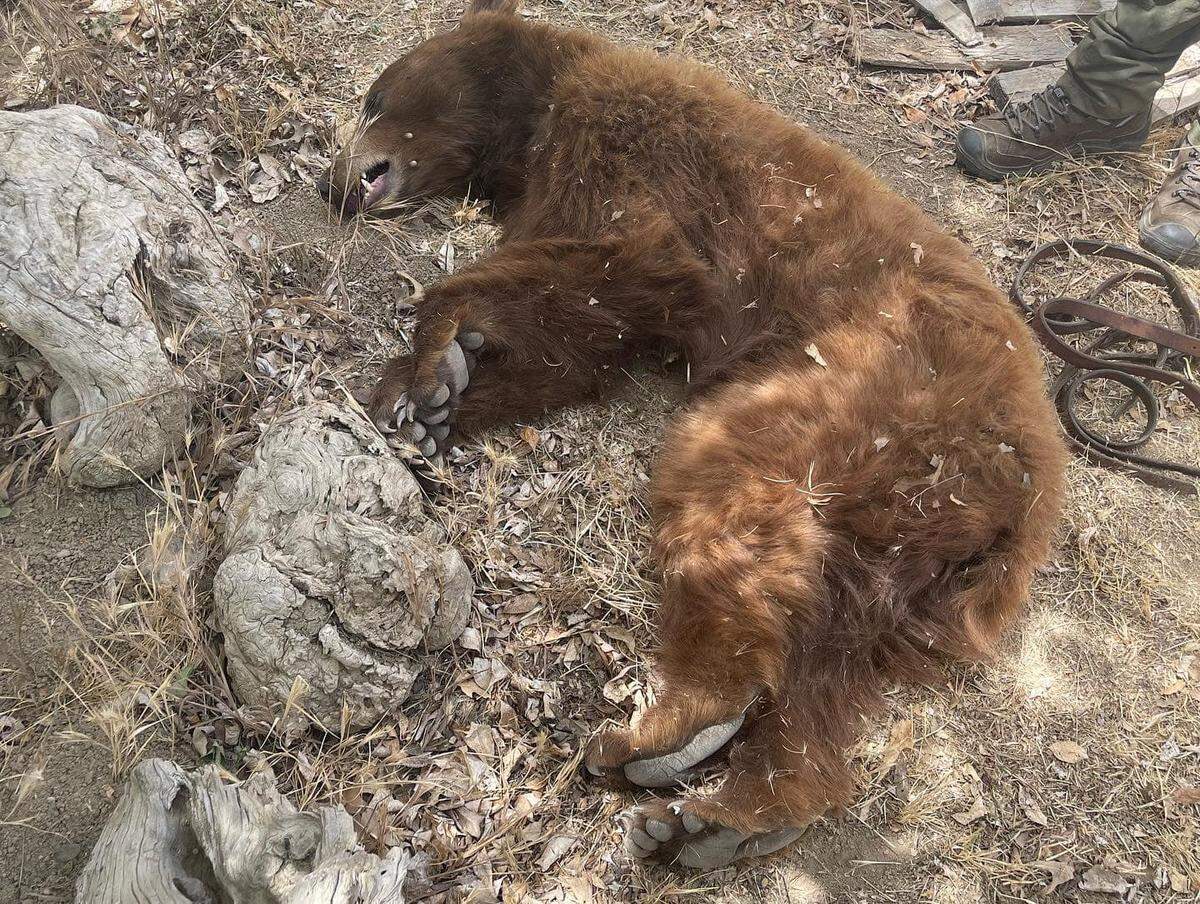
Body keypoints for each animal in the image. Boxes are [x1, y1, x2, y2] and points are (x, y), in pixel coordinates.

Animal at [318, 0, 1067, 869]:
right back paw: (731, 816)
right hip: (910, 562)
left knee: (729, 495)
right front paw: (430, 400)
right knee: (833, 661)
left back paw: (667, 735)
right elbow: (582, 345)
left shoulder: (631, 160)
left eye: (375, 96)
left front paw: (434, 355)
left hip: (865, 399)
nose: (332, 182)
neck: (528, 122)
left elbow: (610, 265)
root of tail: (1027, 488)